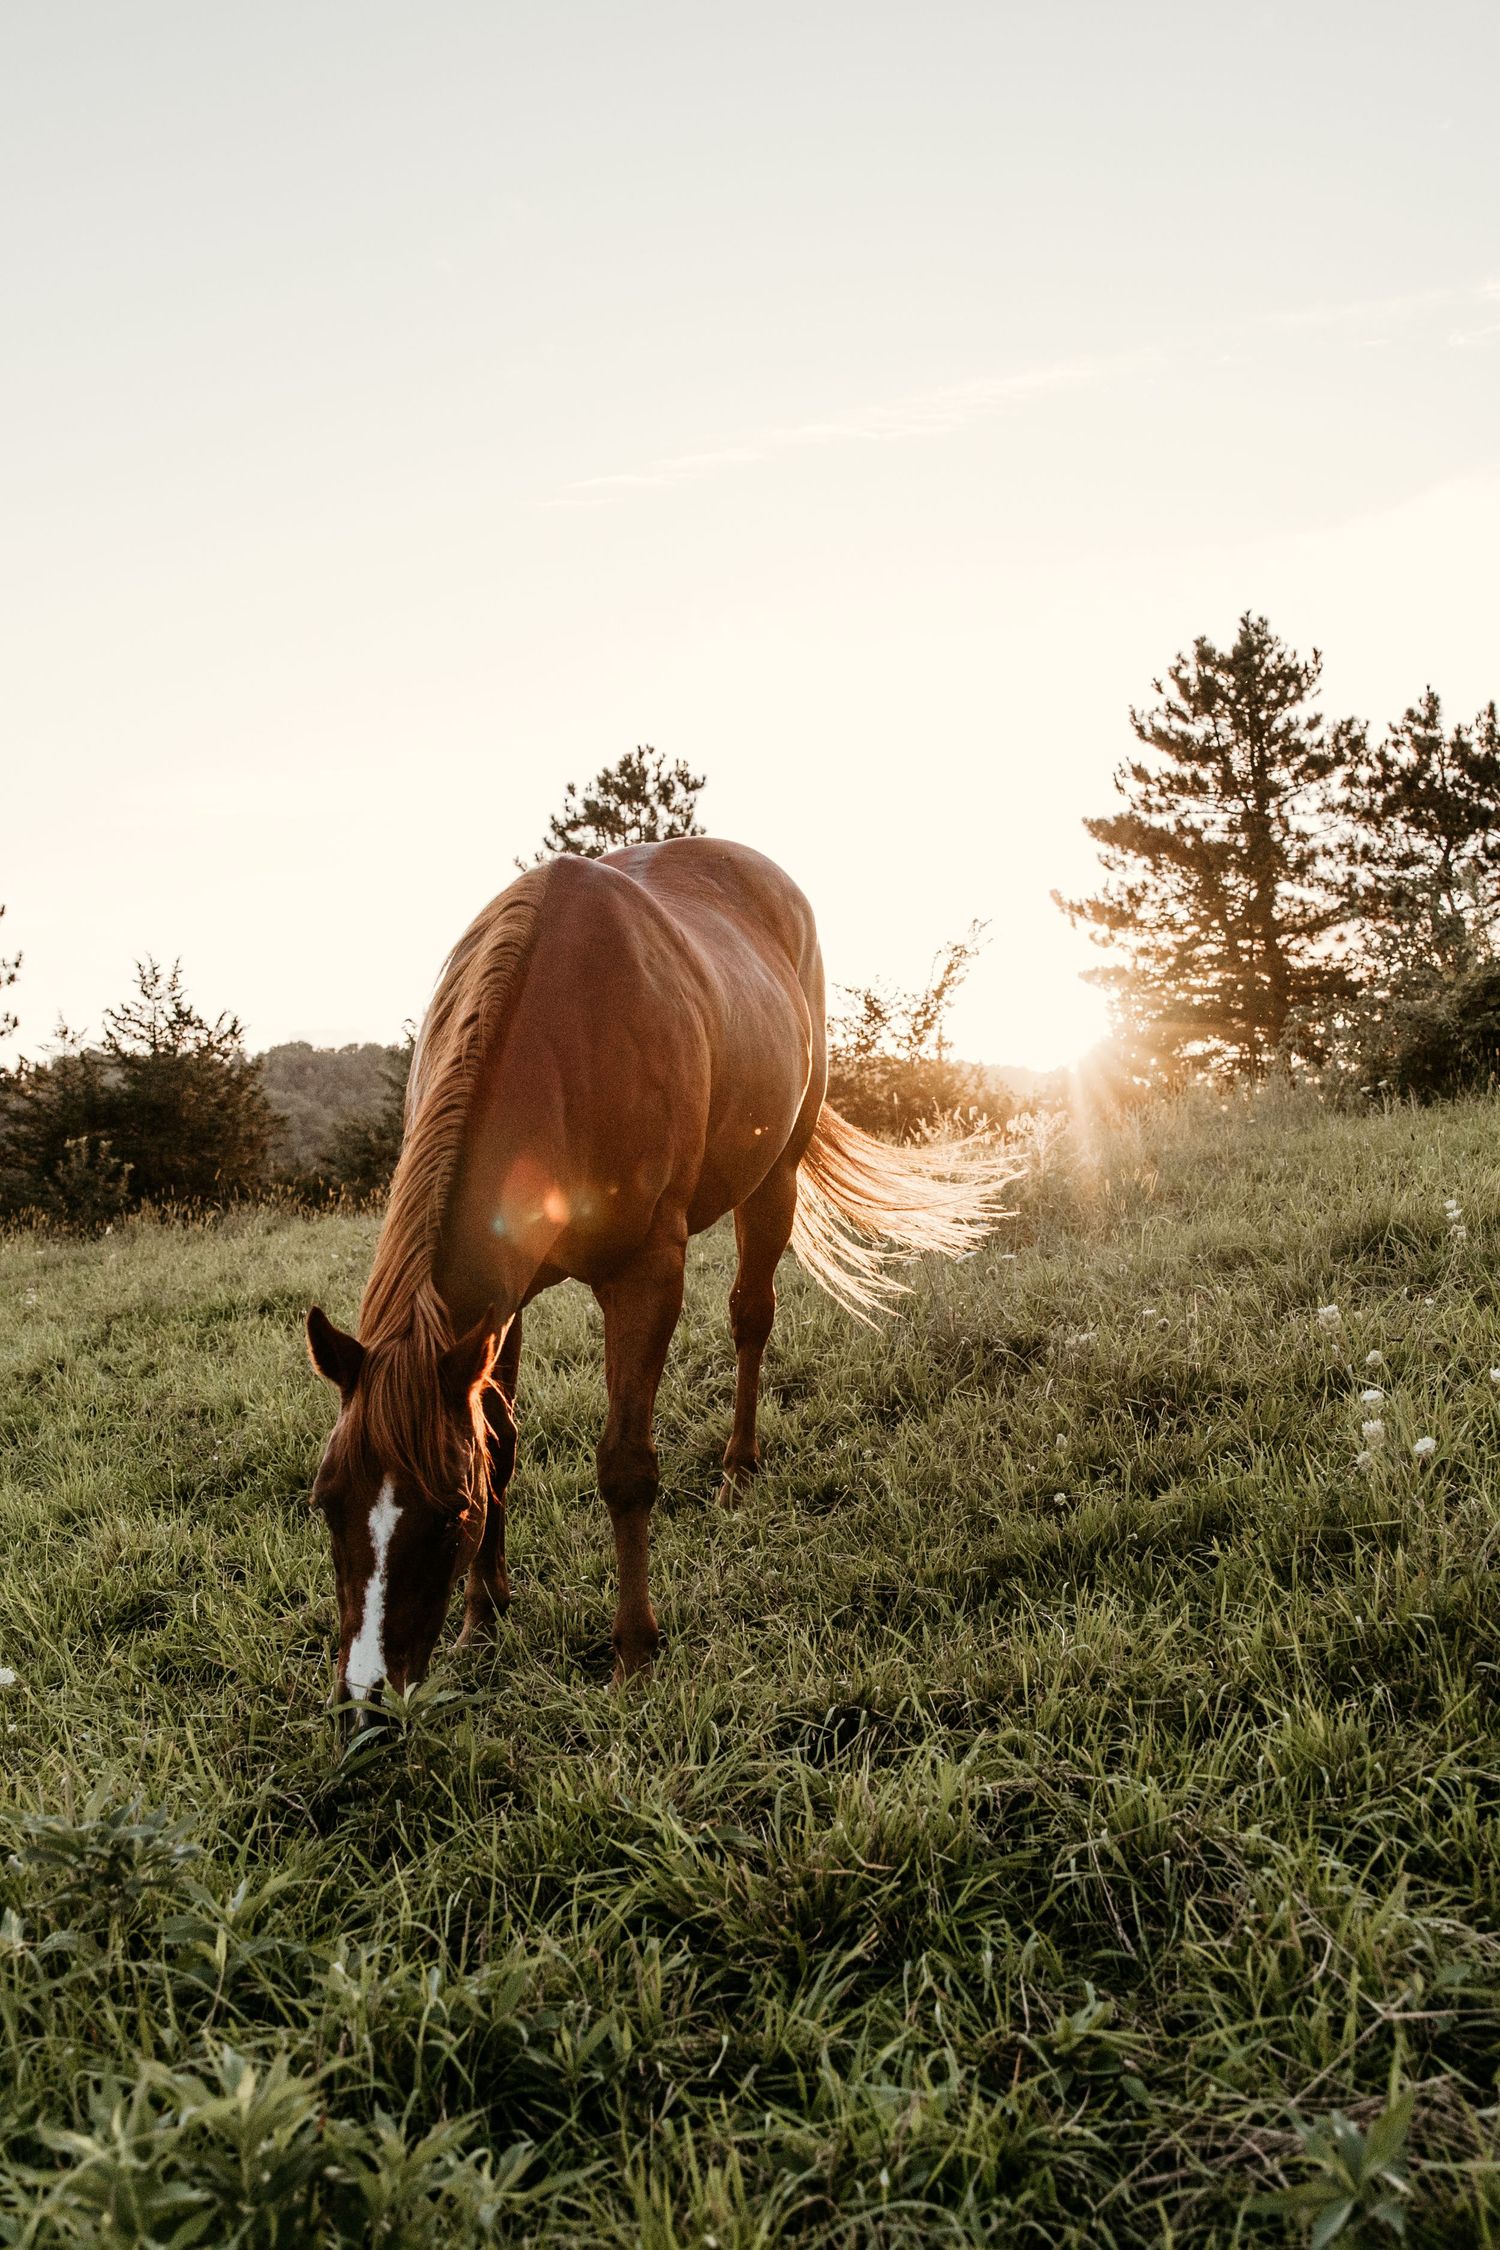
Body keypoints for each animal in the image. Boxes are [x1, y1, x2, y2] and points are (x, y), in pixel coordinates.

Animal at [305, 837, 1011, 1707]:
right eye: (327, 1501)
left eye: (446, 1513)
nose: (365, 1704)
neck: (561, 1039)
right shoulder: (498, 1306)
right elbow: (497, 1438)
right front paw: (484, 1613)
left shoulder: (645, 1277)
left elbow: (626, 1466)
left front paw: (634, 1652)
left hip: (773, 1179)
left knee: (751, 1317)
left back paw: (738, 1473)